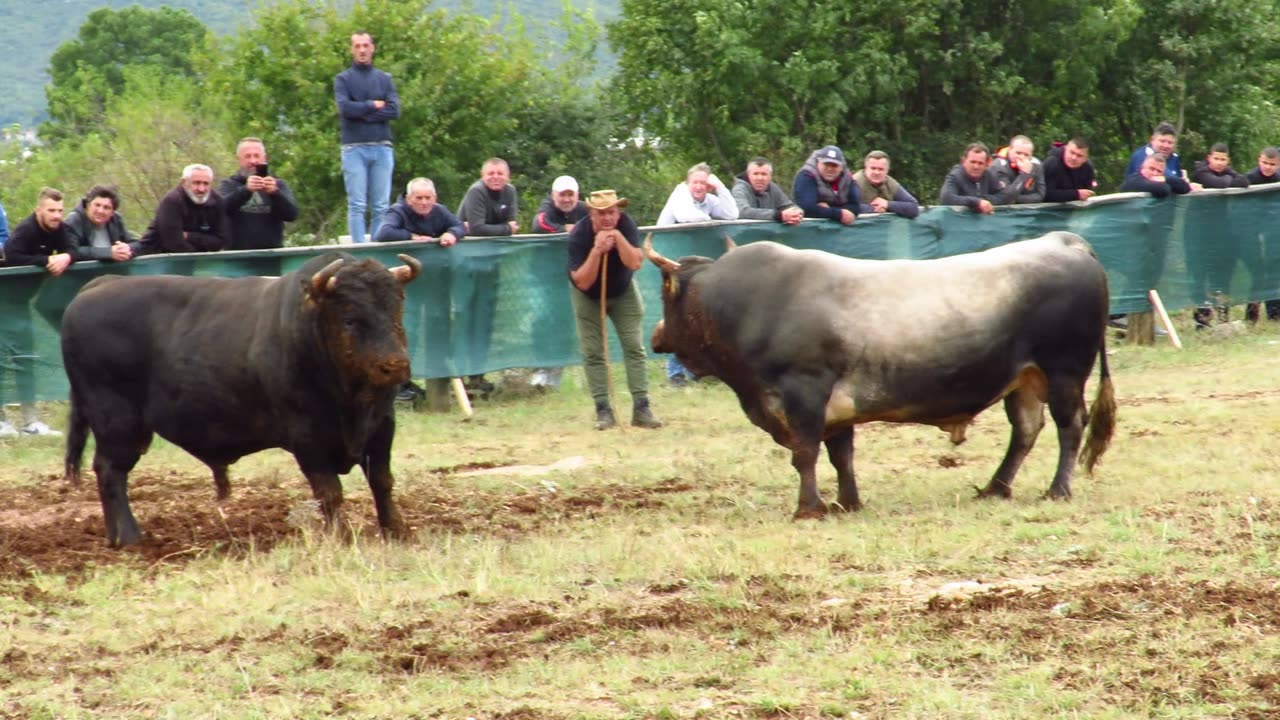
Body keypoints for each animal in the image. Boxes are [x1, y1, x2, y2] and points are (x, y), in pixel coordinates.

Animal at [61, 251, 419, 543]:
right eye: (349, 318)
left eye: (397, 311)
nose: (395, 365)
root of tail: (99, 285)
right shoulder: (307, 436)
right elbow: (329, 491)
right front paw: (342, 537)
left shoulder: (381, 427)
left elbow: (382, 481)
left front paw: (396, 531)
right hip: (117, 423)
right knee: (110, 471)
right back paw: (129, 537)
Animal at [645, 230, 1116, 515]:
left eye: (668, 297)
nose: (656, 334)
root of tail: (1063, 241)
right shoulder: (835, 407)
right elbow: (841, 455)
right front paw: (847, 503)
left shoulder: (804, 391)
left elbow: (805, 453)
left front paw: (809, 508)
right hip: (1024, 380)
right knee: (1026, 429)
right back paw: (995, 488)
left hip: (1064, 371)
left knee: (1069, 426)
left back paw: (1057, 490)